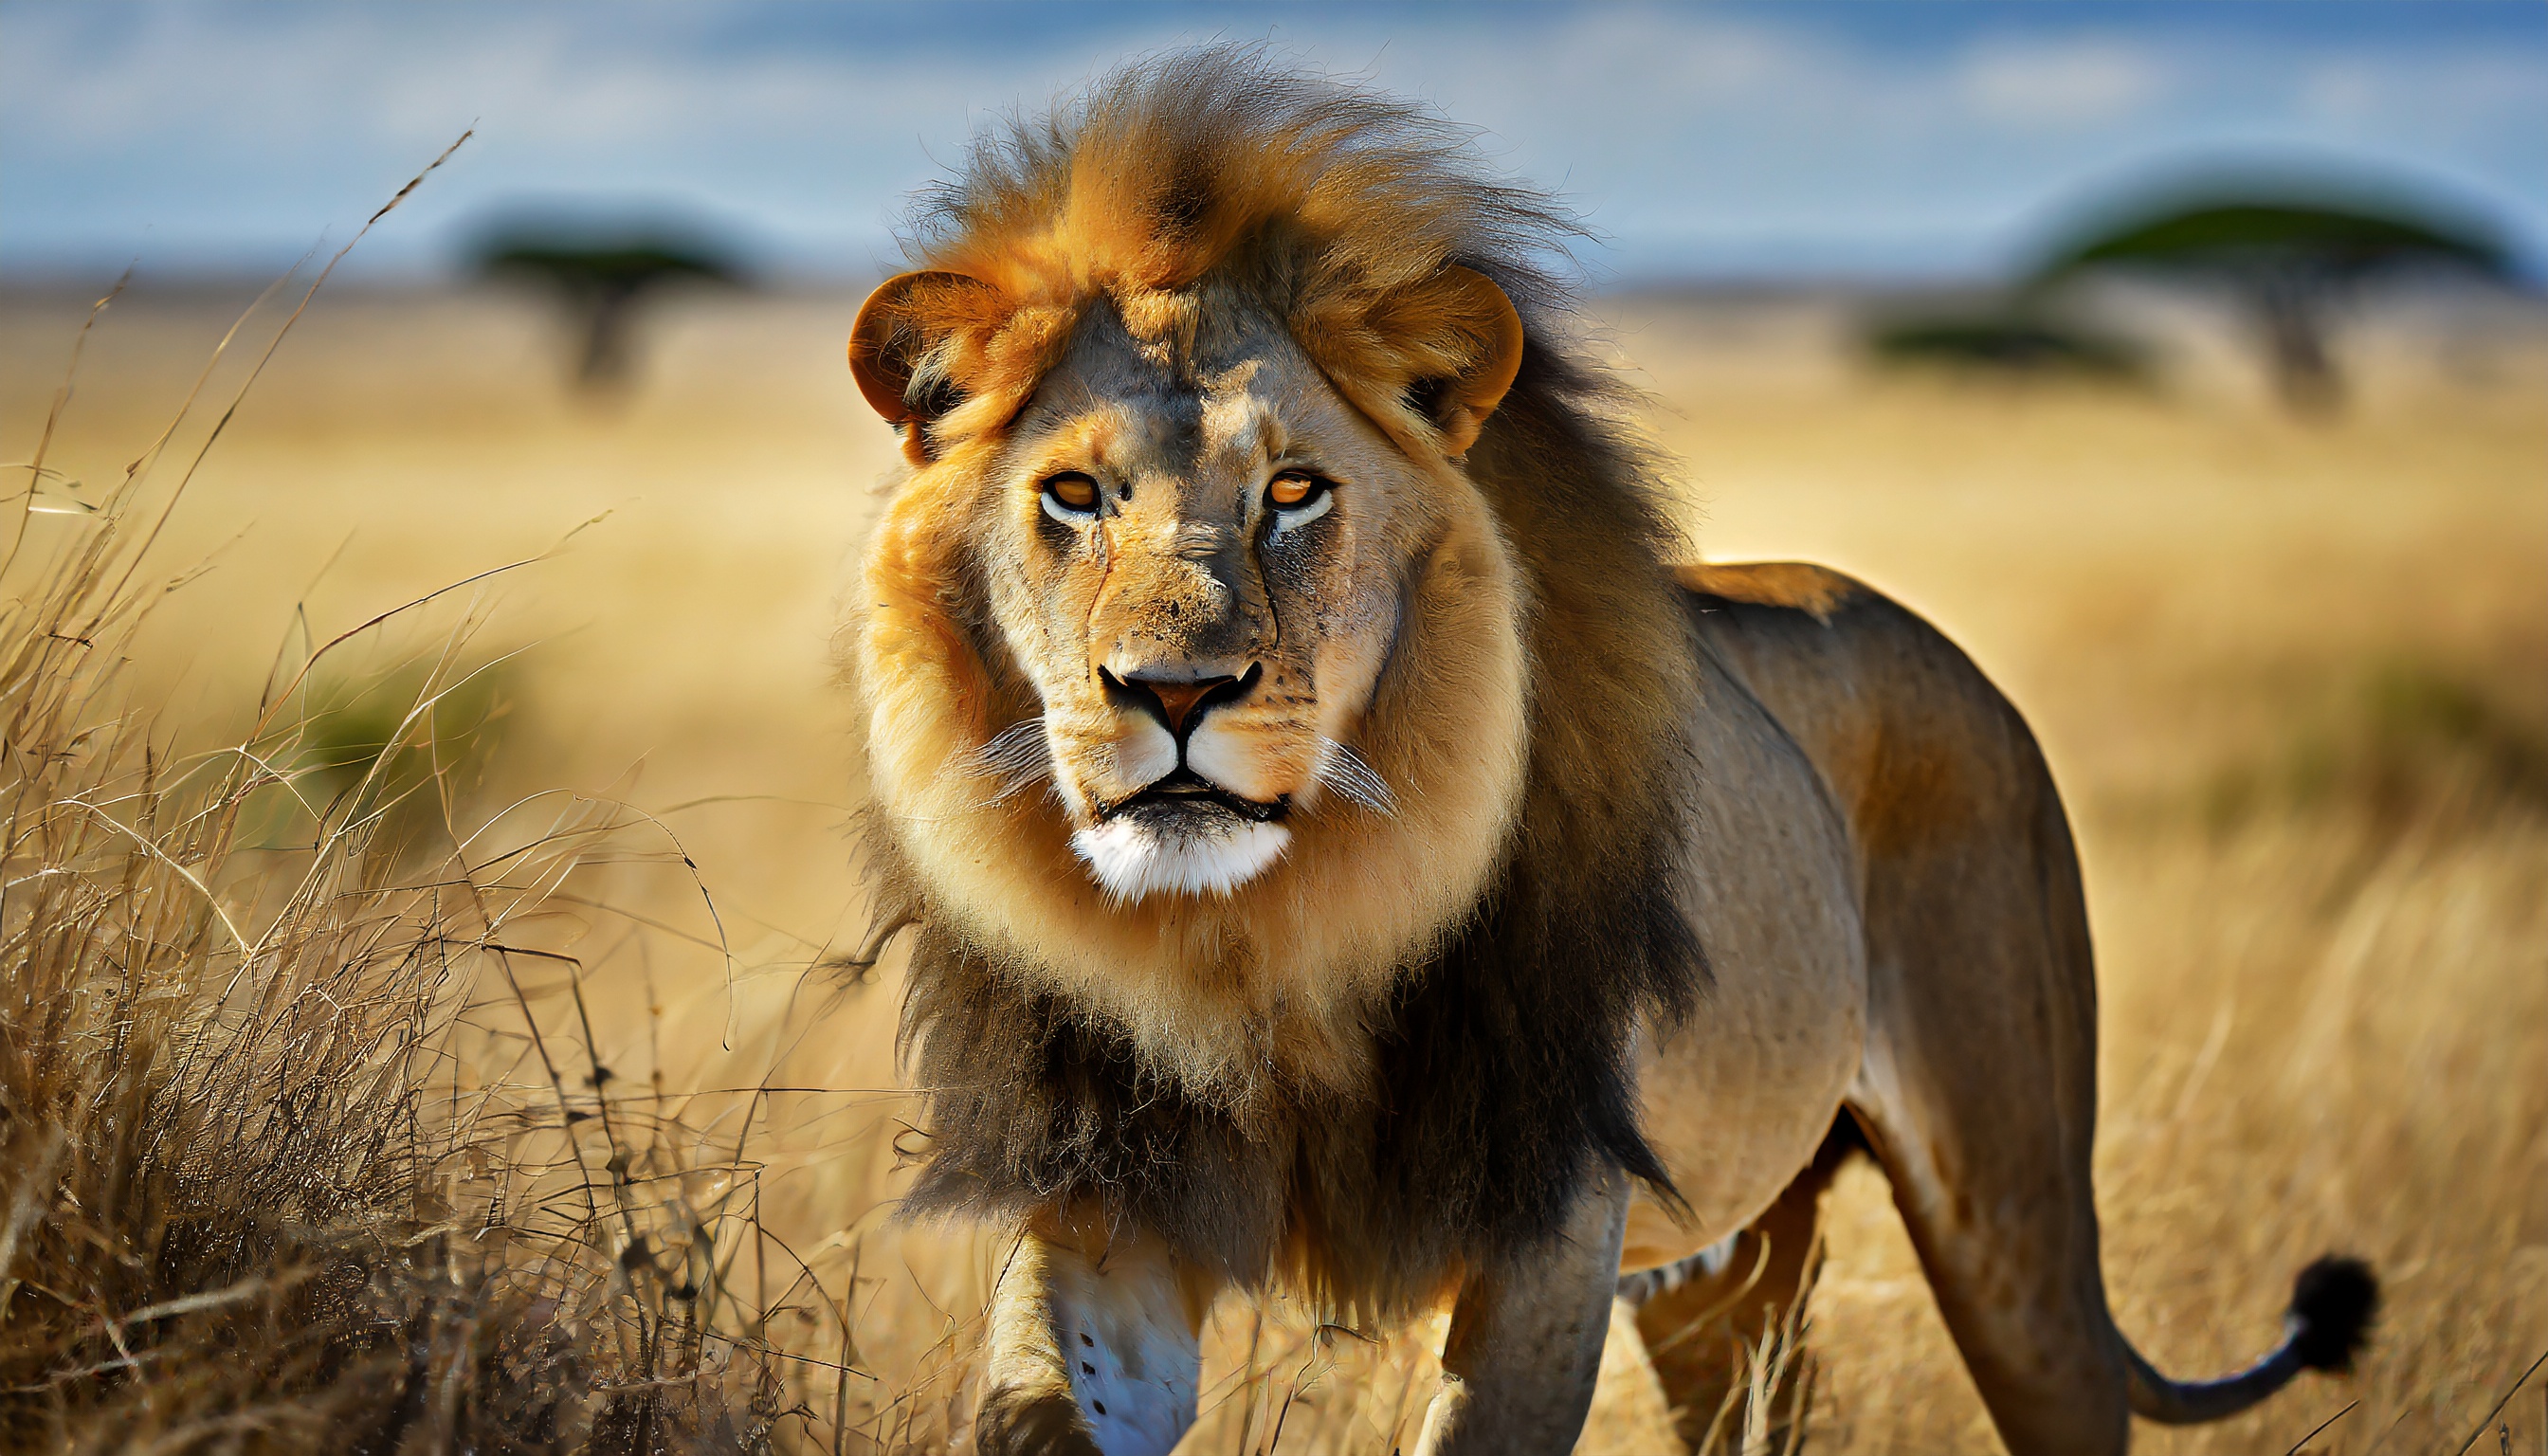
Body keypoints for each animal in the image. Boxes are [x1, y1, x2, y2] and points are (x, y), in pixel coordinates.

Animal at [837, 49, 2376, 1455]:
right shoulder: (1108, 1198)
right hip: (1728, 1271)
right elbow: (1037, 1400)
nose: (1174, 690)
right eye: (1073, 495)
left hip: (2014, 1205)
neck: (1275, 938)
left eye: (1294, 491)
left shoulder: (1556, 1215)